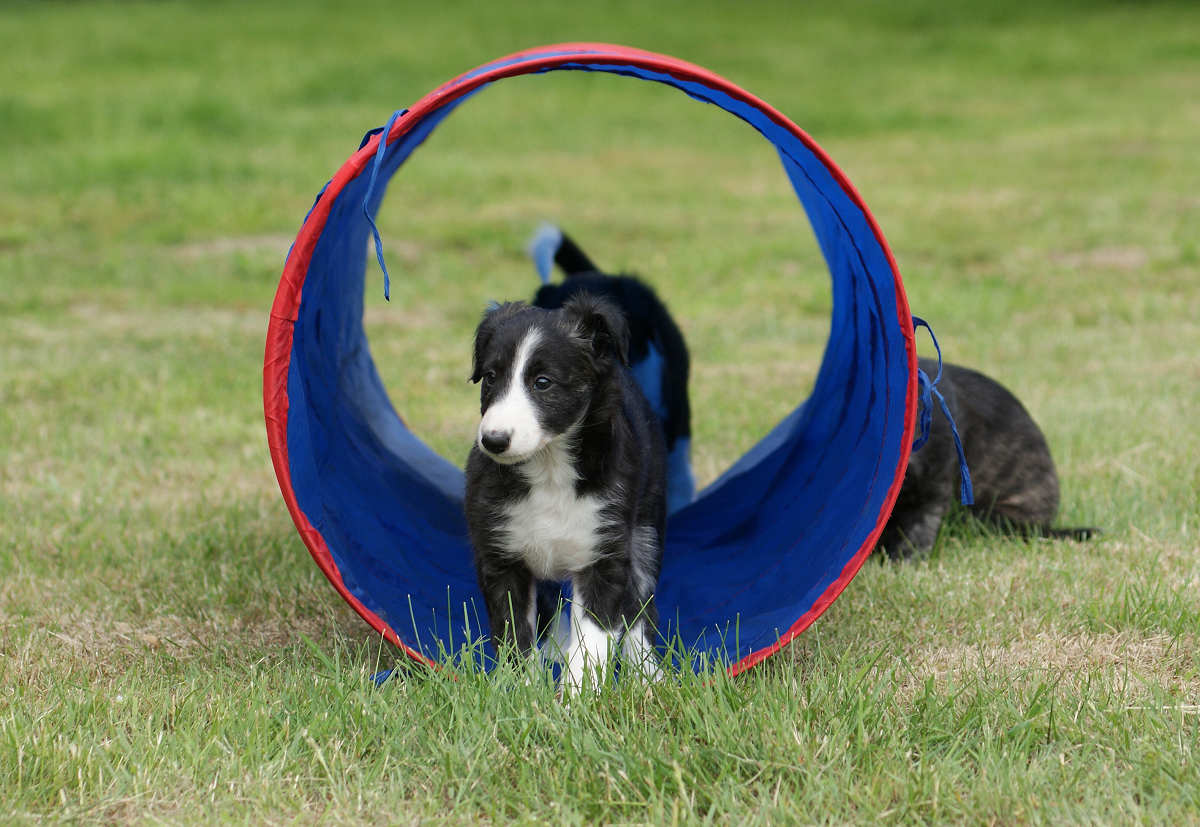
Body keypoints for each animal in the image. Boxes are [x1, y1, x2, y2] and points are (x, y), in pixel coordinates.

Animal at [460, 294, 672, 686]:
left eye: (543, 382)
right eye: (491, 377)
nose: (493, 441)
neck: (549, 467)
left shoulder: (604, 553)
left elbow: (592, 640)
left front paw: (578, 696)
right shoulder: (500, 557)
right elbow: (514, 635)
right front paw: (521, 693)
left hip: (646, 527)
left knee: (640, 608)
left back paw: (648, 674)